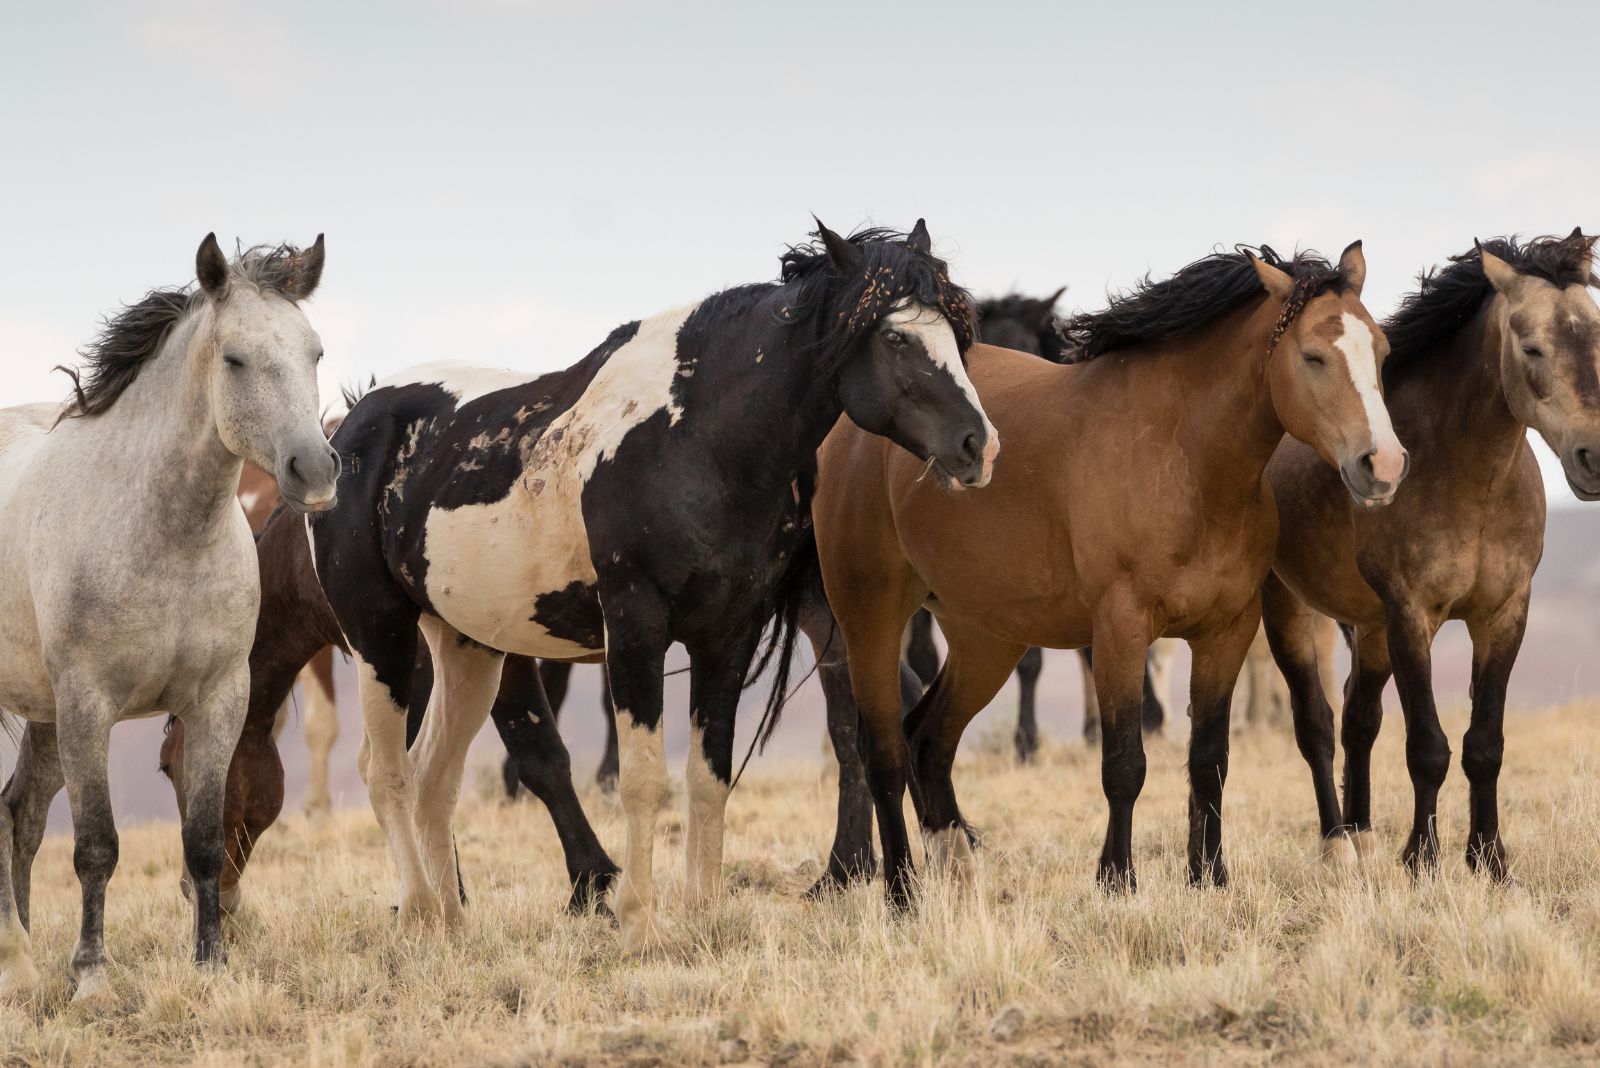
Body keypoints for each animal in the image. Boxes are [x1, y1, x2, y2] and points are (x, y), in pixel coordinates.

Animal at [0, 233, 334, 1004]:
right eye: (235, 358)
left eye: (314, 353)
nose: (315, 470)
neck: (163, 534)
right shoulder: (89, 705)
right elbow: (96, 847)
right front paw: (91, 976)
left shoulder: (219, 699)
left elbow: (203, 841)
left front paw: (211, 965)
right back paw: (13, 955)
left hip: (43, 716)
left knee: (20, 814)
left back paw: (24, 956)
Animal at [812, 241, 1401, 901]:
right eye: (1313, 356)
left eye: (1381, 350)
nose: (1383, 464)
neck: (1182, 456)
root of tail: (850, 432)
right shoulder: (1121, 628)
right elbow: (1124, 762)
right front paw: (1117, 877)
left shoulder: (1226, 632)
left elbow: (1209, 758)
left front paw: (1210, 876)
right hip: (869, 619)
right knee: (884, 751)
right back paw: (902, 892)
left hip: (986, 638)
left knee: (929, 740)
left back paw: (957, 865)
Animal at [1260, 231, 1600, 876]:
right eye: (1532, 347)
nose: (1595, 455)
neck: (1471, 478)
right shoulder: (1411, 614)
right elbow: (1428, 747)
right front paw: (1422, 858)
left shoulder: (1503, 615)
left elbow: (1484, 745)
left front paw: (1489, 858)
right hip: (1288, 609)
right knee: (1316, 722)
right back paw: (1338, 844)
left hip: (1368, 630)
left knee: (1359, 717)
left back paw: (1363, 832)